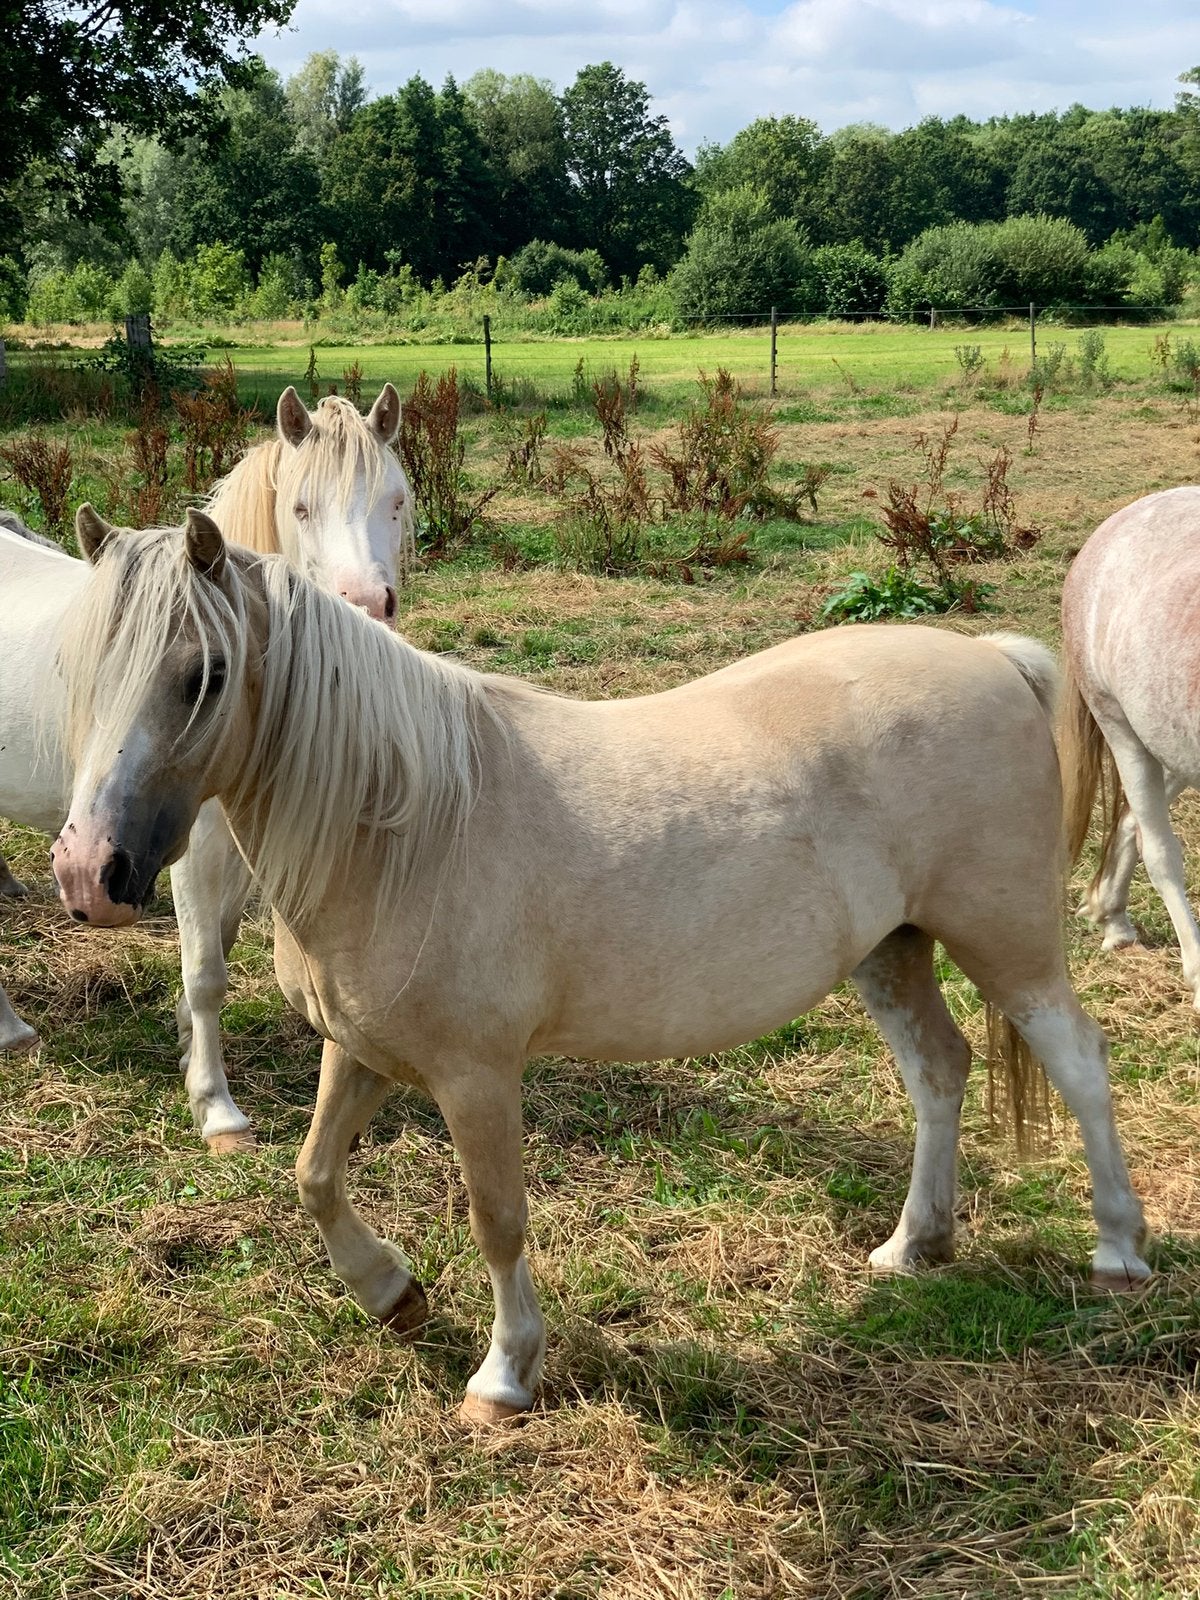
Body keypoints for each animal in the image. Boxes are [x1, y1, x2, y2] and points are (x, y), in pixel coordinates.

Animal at [0, 385, 414, 1153]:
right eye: (301, 508)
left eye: (396, 501)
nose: (368, 607)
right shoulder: (187, 847)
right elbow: (204, 972)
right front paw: (216, 1107)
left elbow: (215, 944)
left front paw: (189, 1048)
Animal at [49, 510, 1150, 1424]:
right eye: (81, 671)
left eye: (203, 673)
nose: (90, 873)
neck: (403, 824)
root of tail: (991, 658)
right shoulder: (360, 1050)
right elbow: (313, 1175)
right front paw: (392, 1294)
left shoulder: (475, 1077)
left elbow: (497, 1219)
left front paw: (504, 1375)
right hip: (891, 949)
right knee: (938, 1071)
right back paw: (914, 1245)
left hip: (1005, 940)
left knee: (1079, 1063)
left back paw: (1118, 1249)